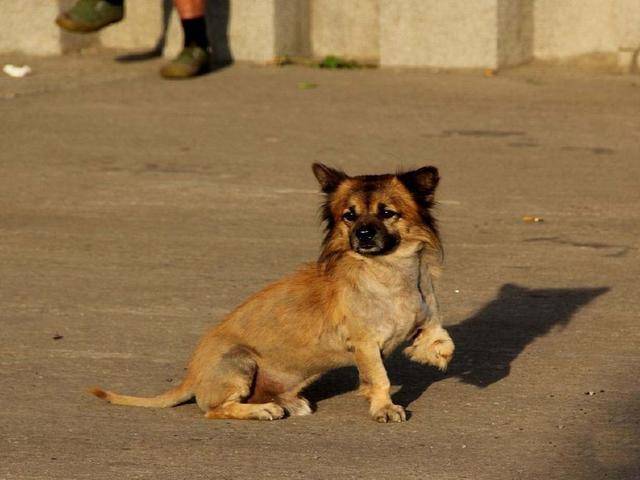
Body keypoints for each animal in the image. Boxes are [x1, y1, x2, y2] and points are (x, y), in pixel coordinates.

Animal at [90, 165, 452, 424]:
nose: (363, 234)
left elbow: (440, 337)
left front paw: (433, 352)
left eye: (387, 212)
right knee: (216, 409)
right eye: (349, 216)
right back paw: (263, 410)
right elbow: (379, 379)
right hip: (240, 360)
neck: (389, 273)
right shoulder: (365, 345)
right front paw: (384, 408)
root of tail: (191, 377)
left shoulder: (424, 316)